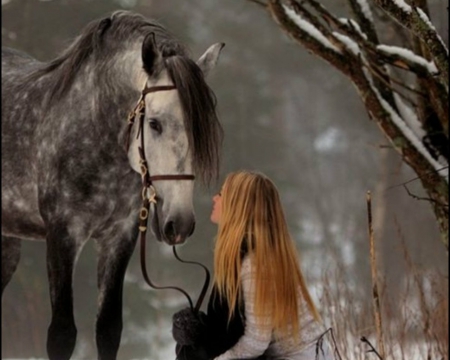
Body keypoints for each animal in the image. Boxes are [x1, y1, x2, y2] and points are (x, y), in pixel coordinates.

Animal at [1, 9, 223, 358]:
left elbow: (108, 329)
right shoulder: (62, 236)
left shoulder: (119, 237)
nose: (180, 224)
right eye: (154, 123)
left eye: (199, 131)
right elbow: (62, 334)